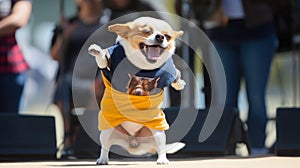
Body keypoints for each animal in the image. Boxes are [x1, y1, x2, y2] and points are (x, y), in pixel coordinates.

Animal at [88, 16, 185, 164]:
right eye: (146, 32)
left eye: (168, 36)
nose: (160, 37)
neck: (143, 66)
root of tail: (133, 140)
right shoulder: (111, 61)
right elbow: (103, 59)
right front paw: (98, 51)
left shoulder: (170, 70)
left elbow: (176, 75)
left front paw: (179, 84)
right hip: (106, 131)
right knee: (105, 147)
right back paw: (103, 159)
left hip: (158, 132)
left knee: (160, 148)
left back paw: (162, 159)